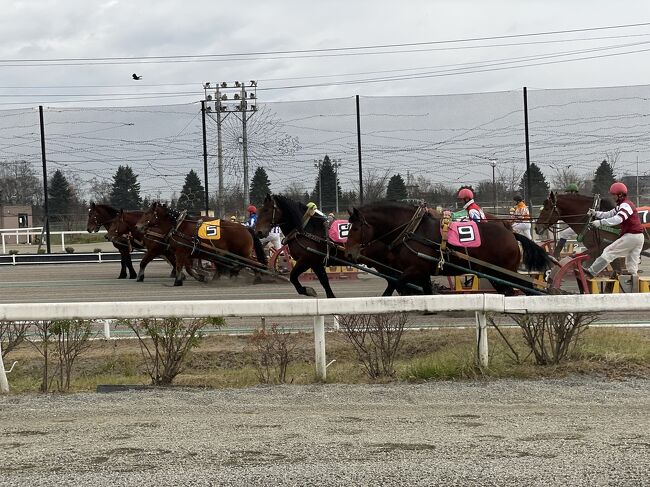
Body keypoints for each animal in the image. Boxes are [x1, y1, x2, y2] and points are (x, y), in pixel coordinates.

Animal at [135, 202, 268, 286]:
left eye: (147, 213)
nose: (138, 226)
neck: (179, 226)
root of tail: (246, 228)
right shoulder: (185, 253)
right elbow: (187, 268)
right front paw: (199, 277)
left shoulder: (179, 252)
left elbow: (179, 266)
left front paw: (178, 281)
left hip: (241, 253)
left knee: (253, 263)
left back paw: (255, 277)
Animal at [342, 200, 548, 296]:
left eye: (356, 227)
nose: (348, 252)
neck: (413, 230)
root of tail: (510, 233)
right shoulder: (421, 271)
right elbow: (422, 290)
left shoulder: (414, 269)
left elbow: (397, 284)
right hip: (493, 272)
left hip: (504, 270)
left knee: (521, 288)